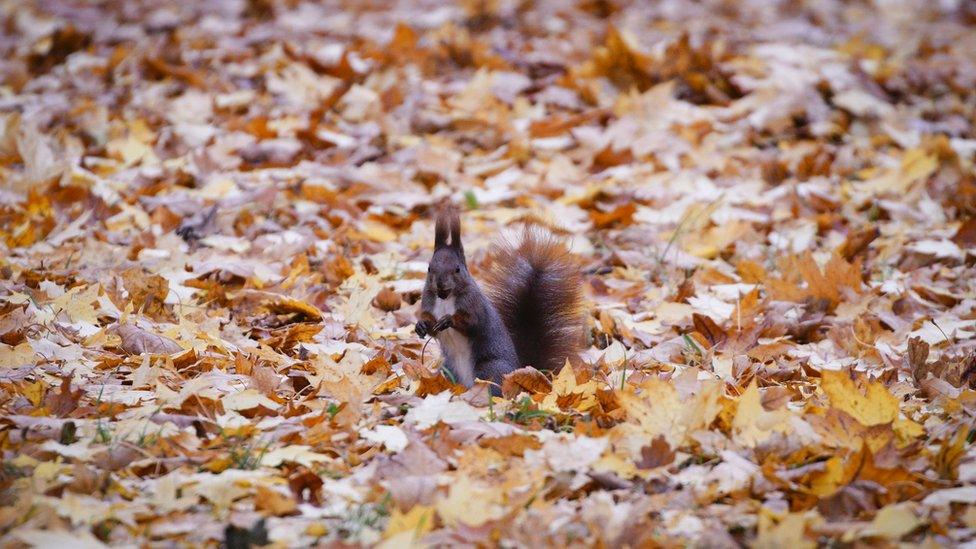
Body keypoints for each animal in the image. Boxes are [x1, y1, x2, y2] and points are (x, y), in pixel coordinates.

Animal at [416, 206, 584, 390]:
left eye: (457, 269)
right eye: (429, 268)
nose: (440, 284)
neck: (445, 299)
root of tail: (520, 369)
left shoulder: (474, 304)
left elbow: (473, 322)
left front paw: (449, 320)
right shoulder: (429, 302)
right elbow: (432, 327)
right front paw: (421, 325)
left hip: (490, 369)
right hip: (448, 369)